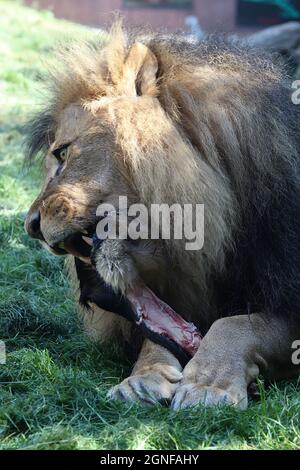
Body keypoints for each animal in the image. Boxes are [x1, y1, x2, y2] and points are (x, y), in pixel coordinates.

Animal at [24, 23, 300, 410]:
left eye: (63, 153)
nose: (30, 226)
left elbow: (237, 324)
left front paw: (208, 385)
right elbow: (156, 333)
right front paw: (143, 378)